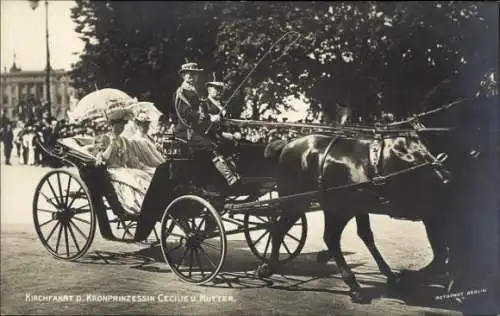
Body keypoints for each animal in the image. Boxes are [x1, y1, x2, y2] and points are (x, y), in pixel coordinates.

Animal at [258, 130, 450, 302]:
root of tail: (287, 145)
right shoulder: (433, 215)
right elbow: (441, 256)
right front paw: (406, 279)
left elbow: (442, 254)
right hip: (309, 203)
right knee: (317, 235)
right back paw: (355, 286)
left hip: (334, 206)